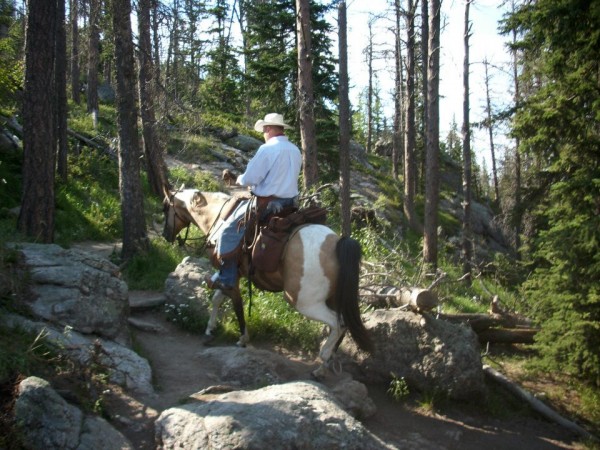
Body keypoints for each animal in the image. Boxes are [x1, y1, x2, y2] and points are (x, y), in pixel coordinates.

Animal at [162, 188, 372, 378]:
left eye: (165, 208)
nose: (165, 235)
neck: (218, 217)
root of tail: (337, 244)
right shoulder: (231, 274)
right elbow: (217, 298)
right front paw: (209, 329)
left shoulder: (230, 272)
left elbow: (236, 305)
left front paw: (242, 339)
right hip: (334, 298)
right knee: (342, 325)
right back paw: (325, 365)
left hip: (303, 301)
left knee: (339, 324)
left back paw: (324, 359)